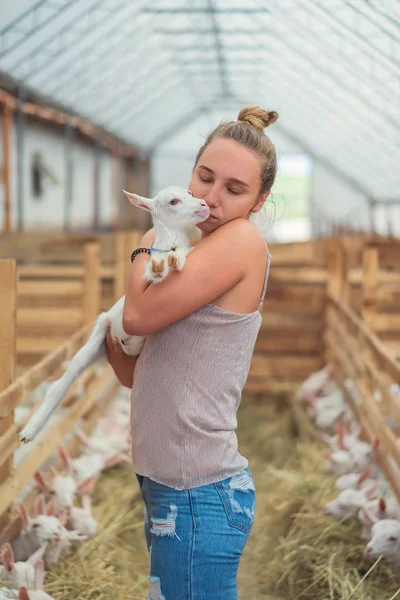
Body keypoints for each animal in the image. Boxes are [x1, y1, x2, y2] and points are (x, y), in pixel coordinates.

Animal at [19, 188, 209, 446]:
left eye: (190, 192)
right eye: (174, 201)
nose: (204, 204)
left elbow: (181, 256)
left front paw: (175, 261)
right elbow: (153, 271)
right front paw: (159, 267)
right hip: (96, 338)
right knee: (60, 384)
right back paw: (29, 431)